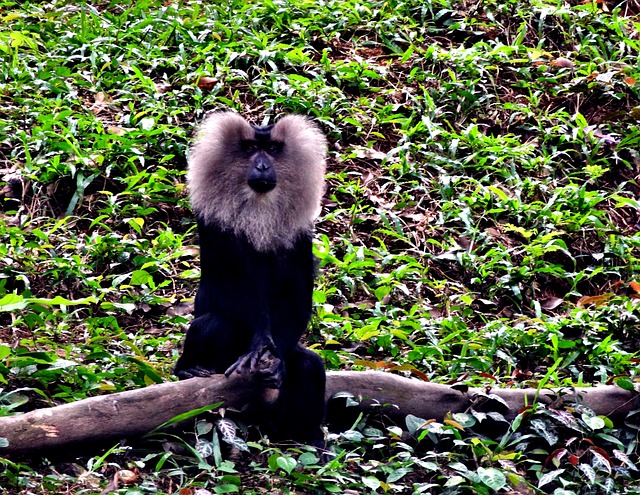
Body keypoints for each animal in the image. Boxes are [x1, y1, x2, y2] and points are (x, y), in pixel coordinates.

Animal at [174, 110, 328, 448]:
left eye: (271, 150)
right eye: (248, 149)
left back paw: (304, 437)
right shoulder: (215, 224)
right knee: (216, 323)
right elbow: (233, 282)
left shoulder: (301, 234)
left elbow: (297, 292)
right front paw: (259, 345)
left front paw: (275, 358)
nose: (261, 166)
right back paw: (188, 368)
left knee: (308, 366)